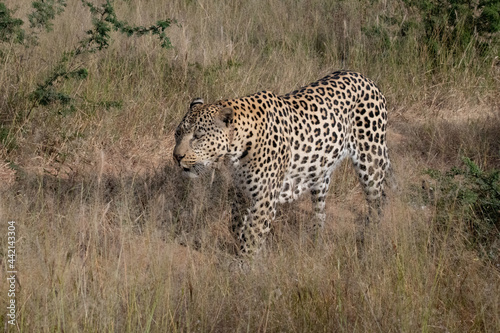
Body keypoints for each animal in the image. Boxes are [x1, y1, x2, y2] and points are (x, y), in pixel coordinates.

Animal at [174, 70, 392, 255]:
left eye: (198, 137)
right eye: (178, 133)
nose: (177, 157)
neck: (235, 150)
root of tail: (365, 78)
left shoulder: (265, 197)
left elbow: (252, 234)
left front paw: (243, 267)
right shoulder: (242, 191)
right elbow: (236, 224)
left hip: (370, 161)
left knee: (377, 201)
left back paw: (369, 240)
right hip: (319, 172)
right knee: (320, 212)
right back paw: (315, 242)